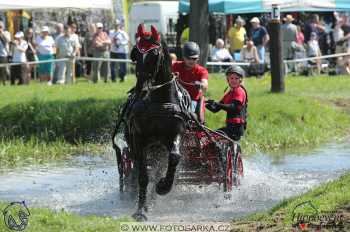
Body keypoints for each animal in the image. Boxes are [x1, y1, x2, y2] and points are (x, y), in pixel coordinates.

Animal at [113, 24, 191, 221]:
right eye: (135, 53)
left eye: (154, 54)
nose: (141, 88)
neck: (159, 102)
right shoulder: (140, 139)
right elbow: (143, 176)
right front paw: (140, 210)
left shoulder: (175, 134)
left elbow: (174, 157)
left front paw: (163, 186)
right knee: (138, 168)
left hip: (159, 148)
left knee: (159, 168)